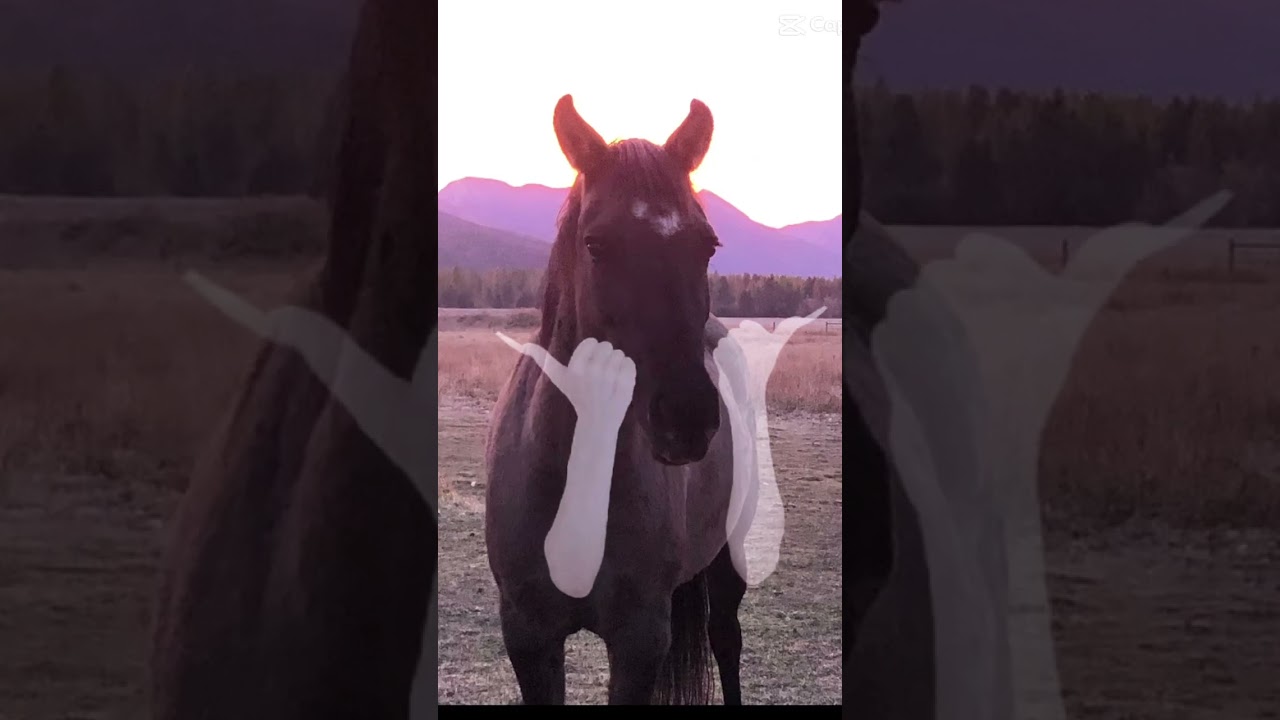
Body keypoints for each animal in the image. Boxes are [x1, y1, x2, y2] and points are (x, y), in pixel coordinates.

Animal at [484, 95, 747, 705]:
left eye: (708, 245)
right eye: (596, 245)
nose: (686, 417)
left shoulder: (639, 638)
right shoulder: (527, 636)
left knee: (726, 639)